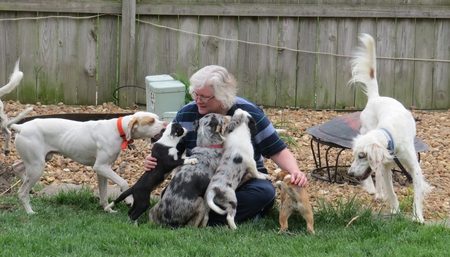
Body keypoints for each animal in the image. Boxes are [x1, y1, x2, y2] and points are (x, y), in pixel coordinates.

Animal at [348, 34, 428, 222]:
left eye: (361, 156)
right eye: (355, 155)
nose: (350, 174)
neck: (390, 138)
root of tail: (375, 97)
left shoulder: (414, 169)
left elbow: (417, 195)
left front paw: (418, 217)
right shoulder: (385, 167)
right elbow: (391, 191)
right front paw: (395, 210)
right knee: (376, 175)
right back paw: (376, 192)